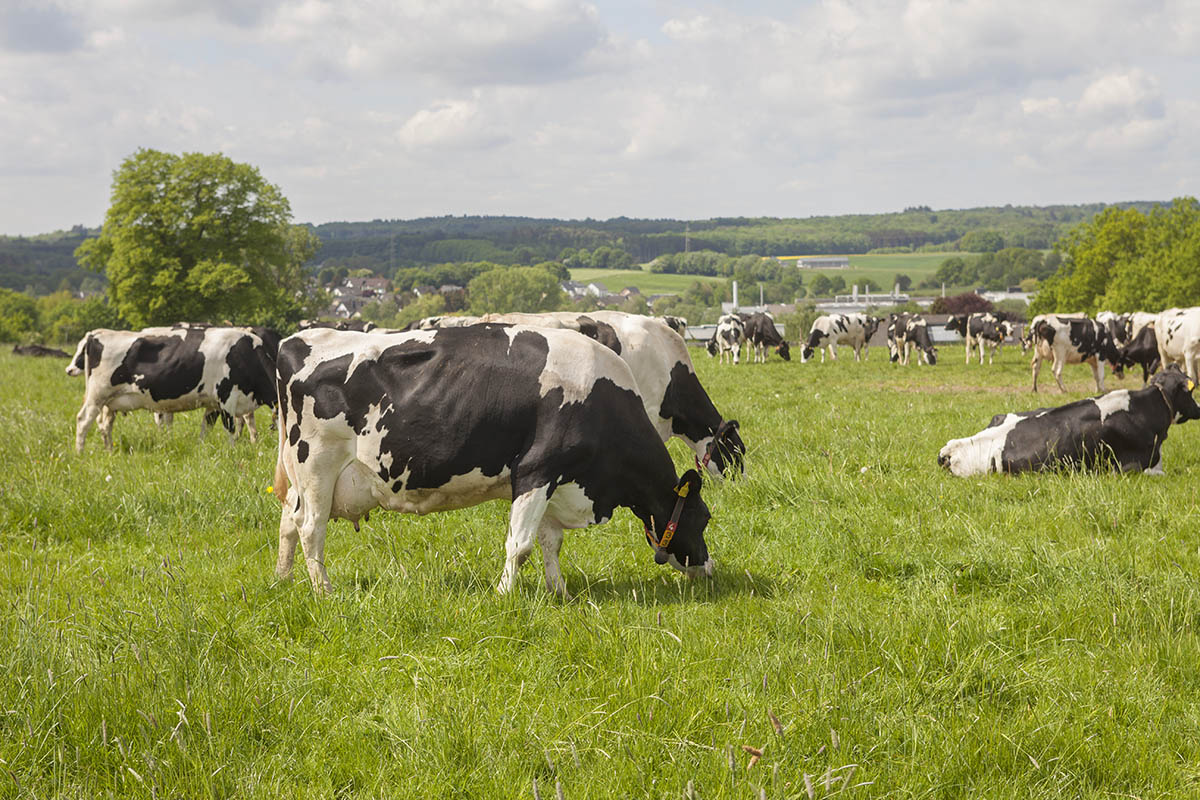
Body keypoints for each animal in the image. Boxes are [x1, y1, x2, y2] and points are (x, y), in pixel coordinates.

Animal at [69, 323, 276, 450]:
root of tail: (98, 333)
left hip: (110, 402)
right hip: (97, 395)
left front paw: (202, 449)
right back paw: (80, 454)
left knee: (105, 425)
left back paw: (109, 450)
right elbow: (230, 430)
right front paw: (233, 452)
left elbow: (206, 428)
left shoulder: (213, 404)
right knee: (83, 420)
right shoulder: (226, 398)